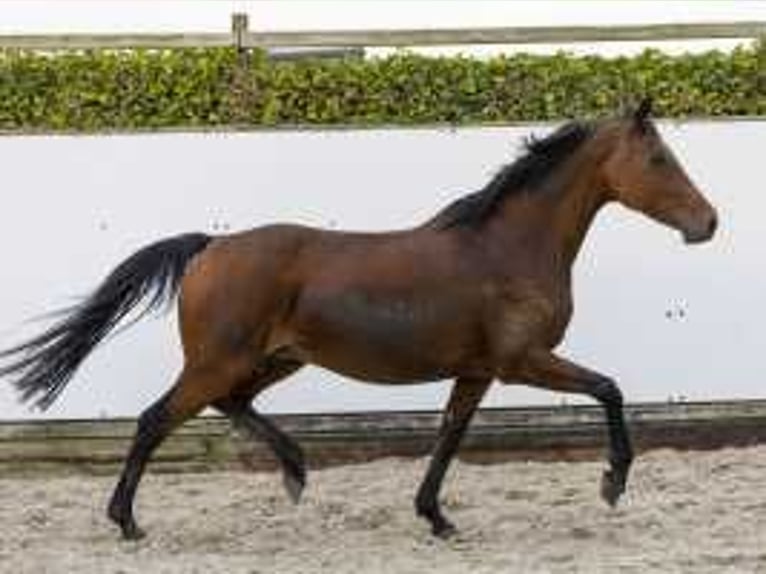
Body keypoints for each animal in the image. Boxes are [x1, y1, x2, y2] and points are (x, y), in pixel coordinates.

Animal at [0, 99, 720, 540]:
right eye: (659, 159)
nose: (708, 223)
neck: (507, 247)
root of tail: (210, 245)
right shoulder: (522, 363)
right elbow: (608, 389)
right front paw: (612, 483)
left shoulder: (478, 371)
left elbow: (449, 435)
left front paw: (436, 519)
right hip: (218, 361)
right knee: (156, 419)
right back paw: (127, 522)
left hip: (273, 359)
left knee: (233, 405)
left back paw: (295, 472)